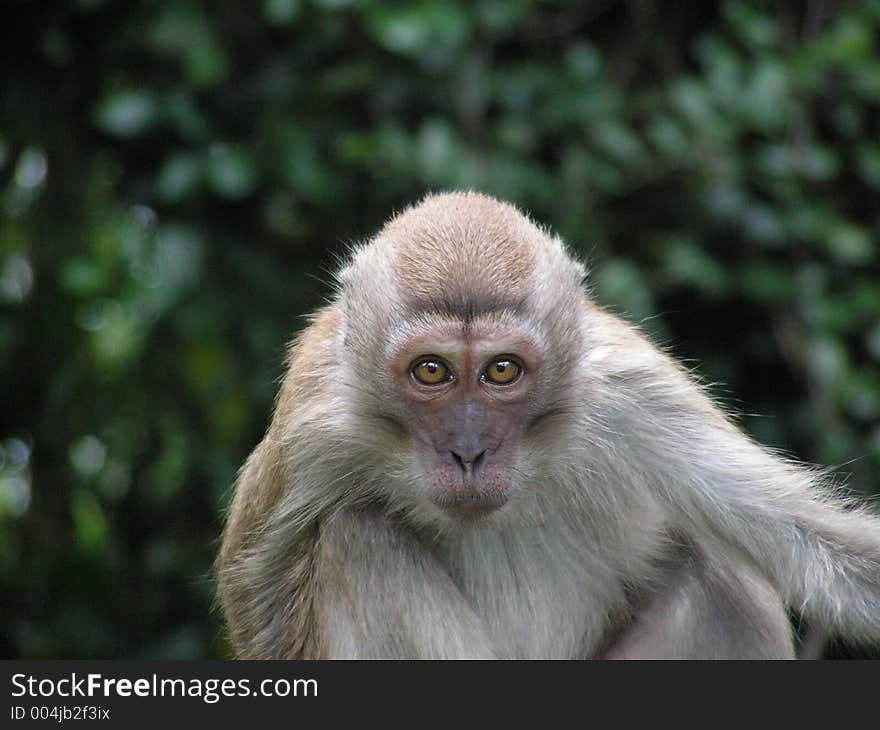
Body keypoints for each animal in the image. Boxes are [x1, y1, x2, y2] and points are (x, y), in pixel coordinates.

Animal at [217, 191, 880, 656]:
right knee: (361, 539)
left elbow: (818, 545)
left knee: (721, 575)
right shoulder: (315, 426)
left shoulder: (631, 394)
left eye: (502, 370)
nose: (469, 451)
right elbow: (256, 592)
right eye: (431, 370)